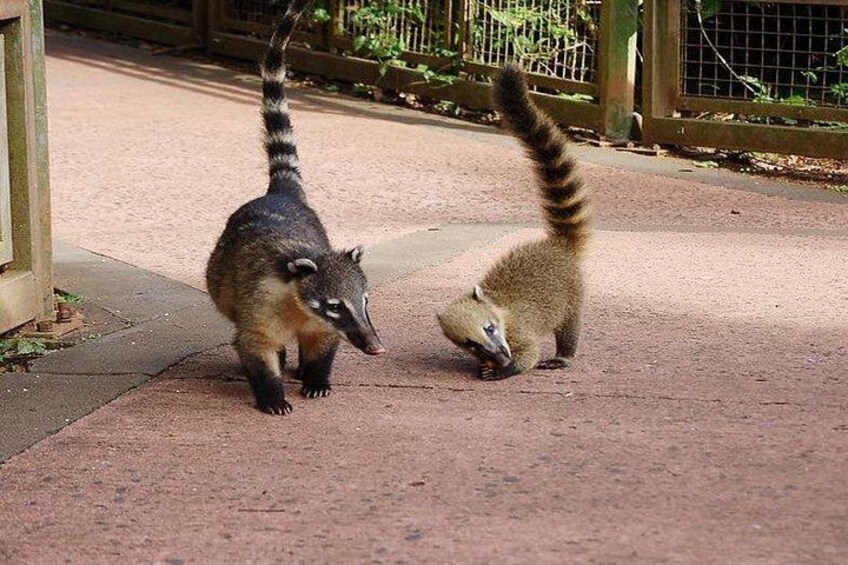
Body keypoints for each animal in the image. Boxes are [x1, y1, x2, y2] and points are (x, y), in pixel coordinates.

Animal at [206, 0, 384, 414]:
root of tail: (281, 193)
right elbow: (253, 346)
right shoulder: (259, 306)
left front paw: (316, 378)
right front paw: (272, 393)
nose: (376, 348)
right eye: (335, 305)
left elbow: (324, 346)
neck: (297, 302)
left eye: (365, 301)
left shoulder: (325, 328)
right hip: (220, 277)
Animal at [437, 63, 591, 380]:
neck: (499, 310)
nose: (501, 355)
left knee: (569, 326)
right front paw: (488, 364)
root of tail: (557, 244)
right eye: (471, 343)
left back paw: (564, 354)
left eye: (489, 328)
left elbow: (530, 353)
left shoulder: (519, 329)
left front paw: (506, 369)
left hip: (572, 293)